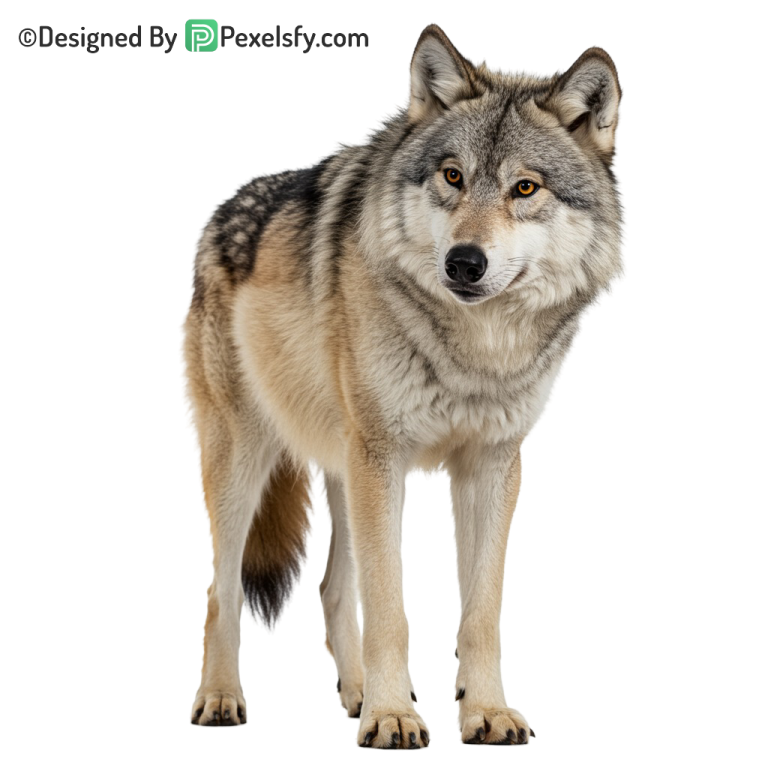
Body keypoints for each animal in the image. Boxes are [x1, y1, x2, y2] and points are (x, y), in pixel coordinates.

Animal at [179, 23, 626, 748]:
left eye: (525, 188)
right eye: (452, 176)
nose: (465, 262)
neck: (474, 351)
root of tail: (216, 213)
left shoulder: (492, 466)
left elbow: (480, 611)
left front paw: (484, 712)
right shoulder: (384, 459)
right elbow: (391, 606)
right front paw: (394, 717)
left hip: (342, 471)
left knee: (333, 593)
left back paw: (357, 694)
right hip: (244, 465)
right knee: (222, 592)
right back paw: (221, 700)